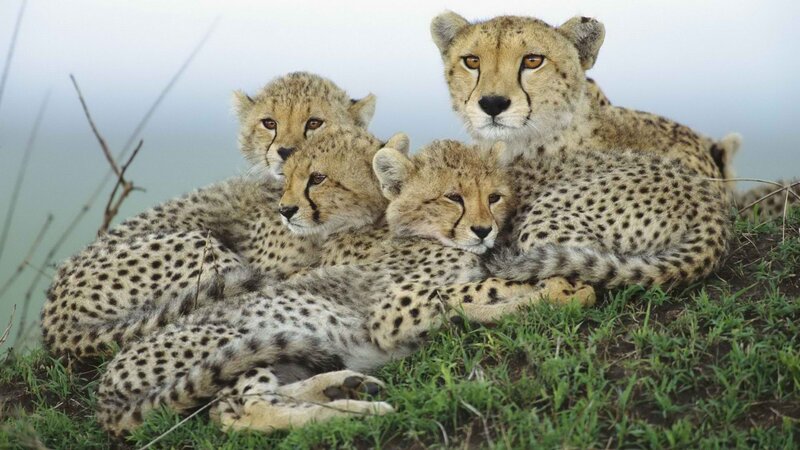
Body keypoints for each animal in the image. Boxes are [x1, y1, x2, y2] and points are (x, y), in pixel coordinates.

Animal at [95, 128, 596, 436]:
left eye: (493, 197)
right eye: (453, 197)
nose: (484, 230)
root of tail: (106, 383)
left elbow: (474, 296)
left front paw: (556, 291)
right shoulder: (392, 311)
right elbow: (475, 290)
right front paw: (557, 290)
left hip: (278, 355)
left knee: (244, 404)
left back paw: (346, 386)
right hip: (238, 339)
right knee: (246, 410)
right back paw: (360, 412)